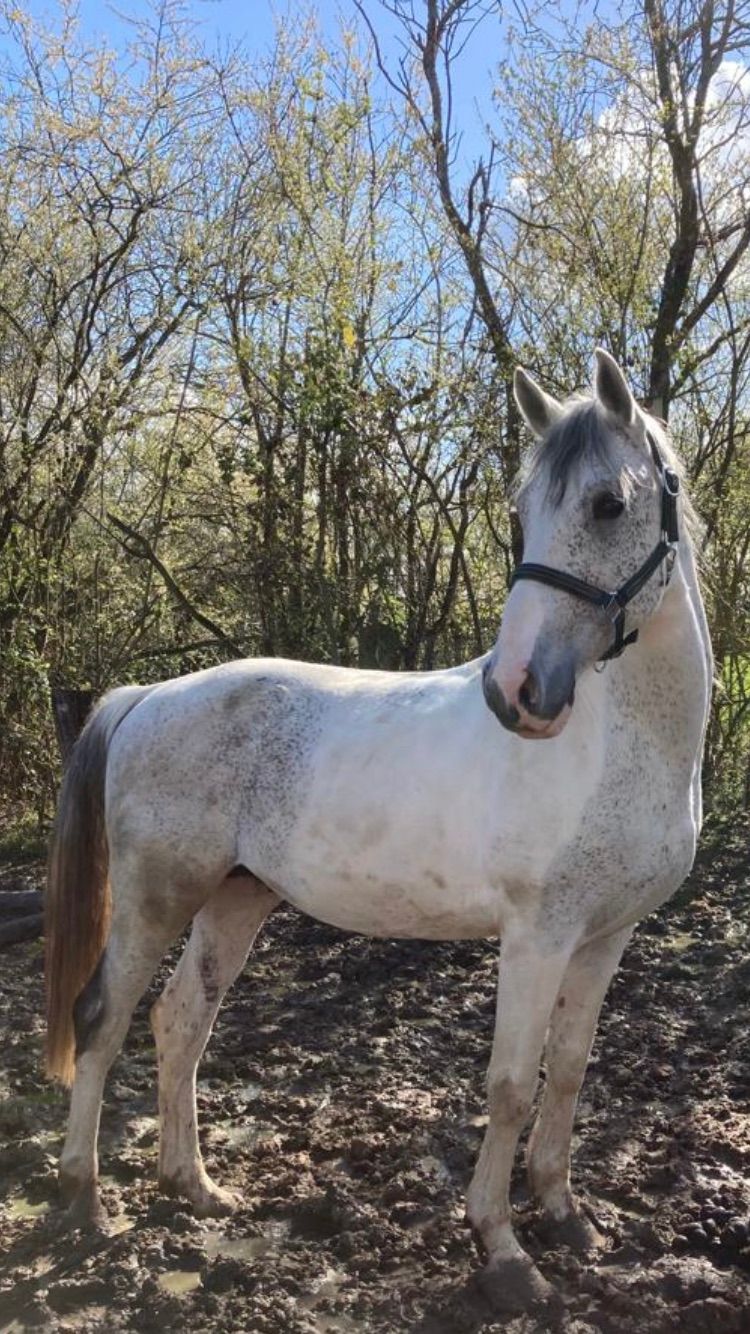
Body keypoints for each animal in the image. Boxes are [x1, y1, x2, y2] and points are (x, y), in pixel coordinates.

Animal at [45, 349, 711, 1310]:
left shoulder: (605, 935)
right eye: (522, 515)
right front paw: (504, 1251)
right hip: (156, 898)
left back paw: (195, 1187)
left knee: (181, 1021)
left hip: (236, 900)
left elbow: (570, 1070)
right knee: (103, 1018)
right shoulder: (538, 935)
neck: (617, 743)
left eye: (606, 505)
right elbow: (512, 1086)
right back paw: (87, 1198)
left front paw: (566, 1216)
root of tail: (147, 697)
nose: (516, 692)